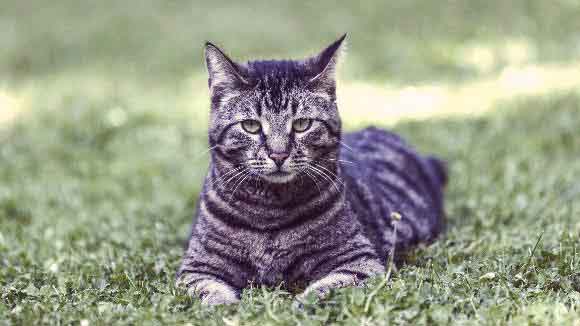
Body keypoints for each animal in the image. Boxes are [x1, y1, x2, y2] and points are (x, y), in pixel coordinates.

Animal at [177, 35, 448, 306]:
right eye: (251, 126)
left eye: (302, 124)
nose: (278, 154)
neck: (269, 213)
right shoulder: (198, 267)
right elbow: (210, 293)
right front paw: (225, 307)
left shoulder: (358, 259)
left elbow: (326, 288)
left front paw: (299, 304)